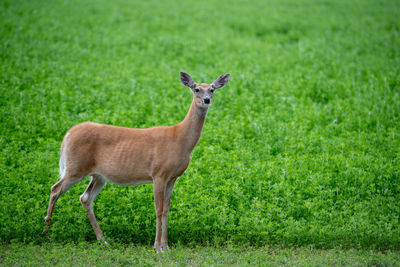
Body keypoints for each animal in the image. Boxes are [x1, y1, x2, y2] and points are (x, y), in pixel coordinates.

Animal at [42, 71, 230, 253]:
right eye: (196, 89)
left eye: (212, 89)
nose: (207, 100)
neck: (180, 140)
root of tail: (68, 134)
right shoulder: (158, 173)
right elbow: (158, 210)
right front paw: (157, 248)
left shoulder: (172, 178)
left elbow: (167, 210)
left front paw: (166, 246)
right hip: (75, 168)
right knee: (55, 189)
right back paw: (45, 232)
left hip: (98, 176)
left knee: (85, 198)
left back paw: (102, 240)